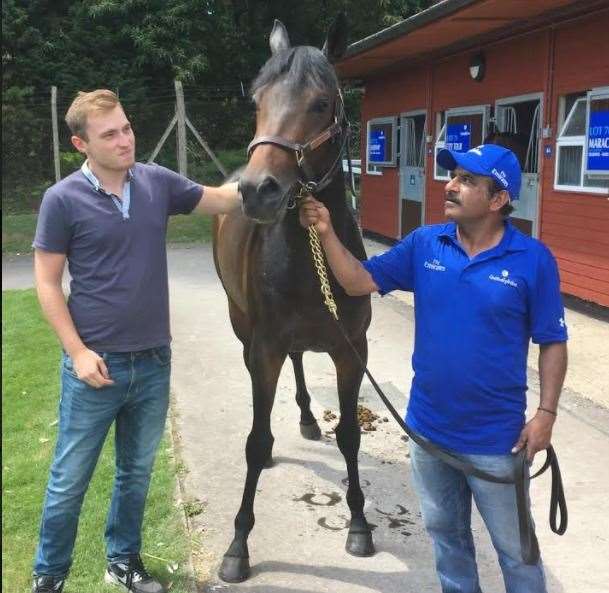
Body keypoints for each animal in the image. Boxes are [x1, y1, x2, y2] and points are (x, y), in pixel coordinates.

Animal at [214, 13, 376, 584]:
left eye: (321, 103)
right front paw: (238, 545)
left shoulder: (351, 351)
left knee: (302, 362)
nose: (258, 190)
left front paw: (359, 525)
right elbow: (255, 439)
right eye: (257, 100)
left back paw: (307, 417)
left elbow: (350, 435)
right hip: (243, 328)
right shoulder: (265, 348)